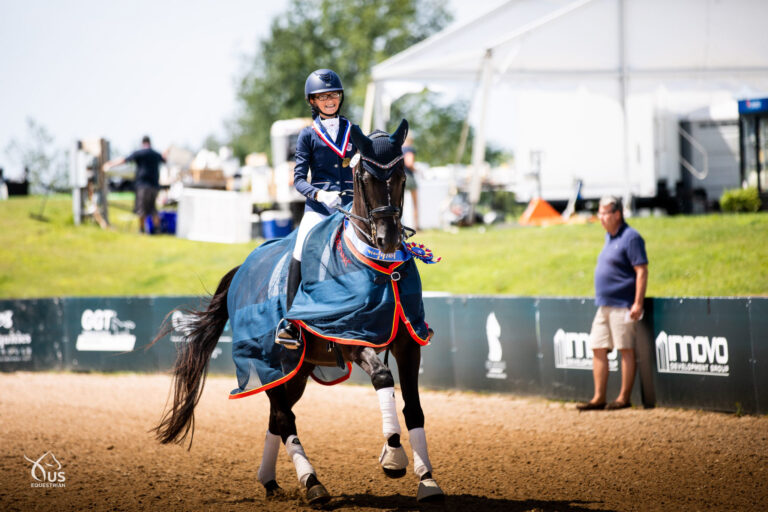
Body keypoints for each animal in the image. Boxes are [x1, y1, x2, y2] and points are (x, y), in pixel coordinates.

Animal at [154, 119, 444, 504]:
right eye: (364, 177)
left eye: (400, 176)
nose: (389, 240)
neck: (379, 269)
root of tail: (243, 269)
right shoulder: (351, 336)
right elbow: (384, 378)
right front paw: (393, 457)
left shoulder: (408, 343)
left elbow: (414, 408)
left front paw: (427, 480)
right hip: (268, 360)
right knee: (283, 417)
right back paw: (312, 483)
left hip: (296, 369)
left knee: (278, 417)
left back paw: (270, 481)